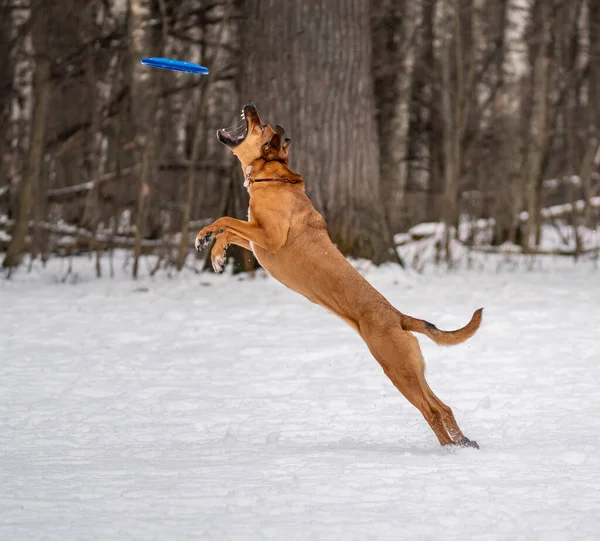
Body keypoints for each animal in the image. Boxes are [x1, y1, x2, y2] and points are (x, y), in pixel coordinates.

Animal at [197, 102, 482, 448]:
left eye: (261, 125)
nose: (249, 106)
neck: (271, 178)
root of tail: (398, 316)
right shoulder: (256, 237)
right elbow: (228, 230)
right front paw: (216, 253)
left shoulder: (269, 237)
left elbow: (225, 219)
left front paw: (204, 237)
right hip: (411, 370)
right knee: (444, 407)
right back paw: (463, 444)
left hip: (397, 369)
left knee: (432, 411)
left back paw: (450, 448)